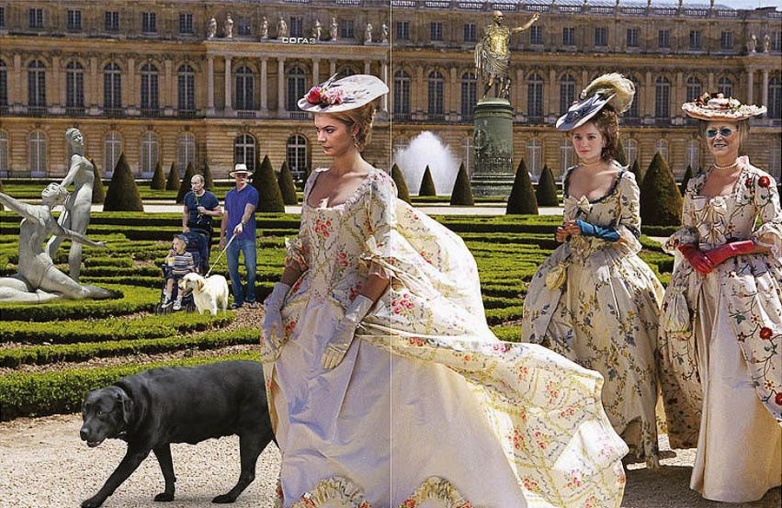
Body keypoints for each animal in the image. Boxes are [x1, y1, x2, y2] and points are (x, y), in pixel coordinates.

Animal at [79, 360, 275, 508]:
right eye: (84, 411)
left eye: (101, 412)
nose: (83, 432)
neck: (134, 401)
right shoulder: (161, 445)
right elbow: (167, 470)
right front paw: (168, 494)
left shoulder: (137, 451)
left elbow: (113, 478)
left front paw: (93, 501)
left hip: (251, 435)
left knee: (248, 474)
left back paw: (228, 497)